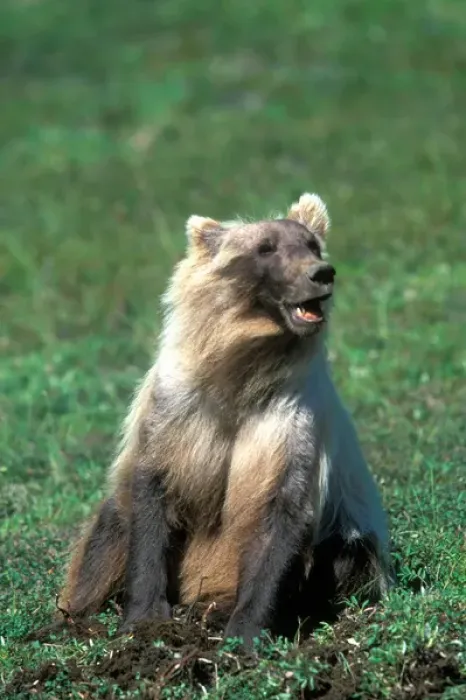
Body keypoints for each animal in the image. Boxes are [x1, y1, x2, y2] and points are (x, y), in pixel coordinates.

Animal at [59, 192, 392, 649]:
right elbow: (151, 494)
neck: (240, 370)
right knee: (108, 528)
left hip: (342, 534)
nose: (322, 273)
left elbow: (280, 510)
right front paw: (143, 618)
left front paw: (245, 632)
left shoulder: (287, 421)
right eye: (266, 247)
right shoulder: (178, 411)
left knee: (350, 553)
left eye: (312, 244)